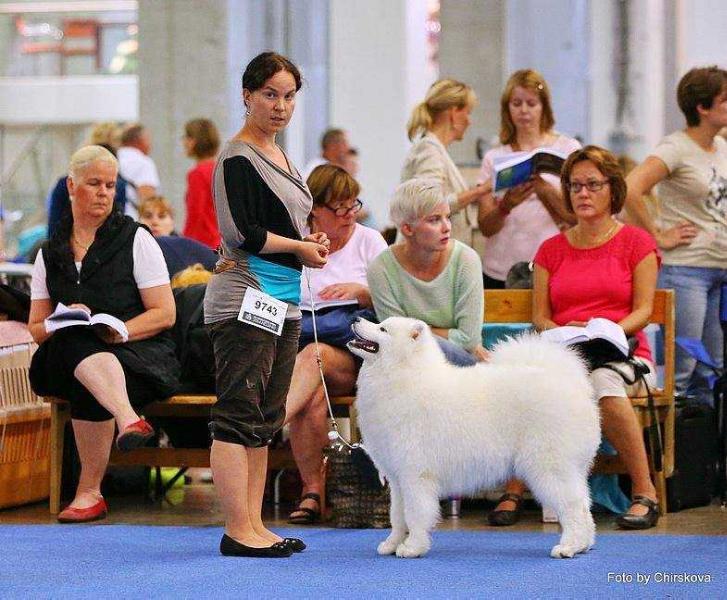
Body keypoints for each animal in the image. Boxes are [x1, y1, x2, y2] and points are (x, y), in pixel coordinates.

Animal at [350, 316, 600, 560]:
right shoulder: (397, 478)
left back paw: (568, 547)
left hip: (549, 466)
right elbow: (397, 516)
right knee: (584, 505)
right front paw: (392, 544)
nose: (356, 319)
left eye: (382, 329)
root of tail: (571, 385)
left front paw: (413, 547)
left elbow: (415, 514)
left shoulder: (415, 475)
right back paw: (584, 545)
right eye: (379, 323)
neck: (402, 375)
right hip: (571, 469)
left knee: (573, 508)